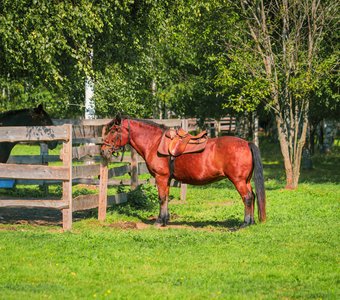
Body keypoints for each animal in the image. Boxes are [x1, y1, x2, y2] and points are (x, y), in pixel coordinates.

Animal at [101, 116, 266, 226]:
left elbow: (161, 198)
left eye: (114, 130)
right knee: (253, 195)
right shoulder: (166, 179)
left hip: (238, 180)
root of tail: (247, 143)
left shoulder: (161, 177)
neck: (155, 143)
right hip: (246, 180)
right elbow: (166, 198)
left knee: (247, 197)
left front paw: (159, 221)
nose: (103, 150)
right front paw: (165, 219)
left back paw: (245, 223)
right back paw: (251, 222)